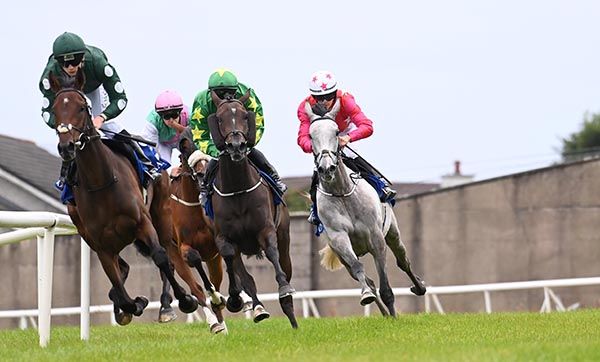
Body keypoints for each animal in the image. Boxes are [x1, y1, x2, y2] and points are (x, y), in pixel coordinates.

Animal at [49, 71, 197, 326]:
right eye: (55, 109)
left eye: (81, 108)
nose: (66, 146)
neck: (102, 183)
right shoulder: (101, 247)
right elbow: (117, 283)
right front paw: (134, 304)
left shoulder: (142, 223)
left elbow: (160, 258)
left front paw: (185, 300)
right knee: (123, 270)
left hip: (162, 217)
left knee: (167, 254)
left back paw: (166, 305)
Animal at [207, 90, 298, 328]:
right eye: (219, 118)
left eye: (244, 115)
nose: (236, 146)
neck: (238, 189)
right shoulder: (223, 237)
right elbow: (231, 261)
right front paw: (235, 299)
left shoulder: (266, 229)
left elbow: (273, 253)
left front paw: (284, 289)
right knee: (246, 277)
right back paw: (258, 308)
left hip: (285, 236)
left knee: (286, 268)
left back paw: (293, 320)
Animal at [304, 100, 426, 316]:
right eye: (311, 135)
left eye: (336, 132)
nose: (326, 168)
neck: (342, 192)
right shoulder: (339, 239)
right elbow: (360, 269)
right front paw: (367, 295)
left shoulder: (376, 237)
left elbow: (386, 286)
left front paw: (394, 315)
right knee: (367, 279)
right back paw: (381, 308)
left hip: (392, 233)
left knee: (403, 261)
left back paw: (418, 287)